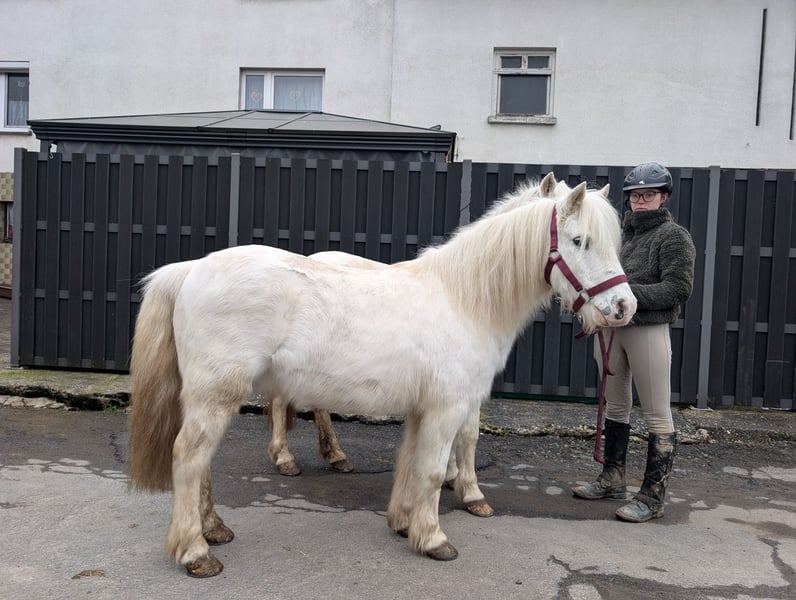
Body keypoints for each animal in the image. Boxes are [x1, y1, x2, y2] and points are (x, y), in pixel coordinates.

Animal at [128, 176, 636, 577]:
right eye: (579, 241)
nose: (623, 307)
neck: (463, 297)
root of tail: (192, 270)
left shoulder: (425, 409)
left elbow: (411, 465)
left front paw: (404, 523)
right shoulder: (448, 407)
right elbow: (434, 469)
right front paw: (434, 539)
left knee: (202, 462)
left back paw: (215, 529)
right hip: (217, 393)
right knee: (189, 458)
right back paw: (196, 552)